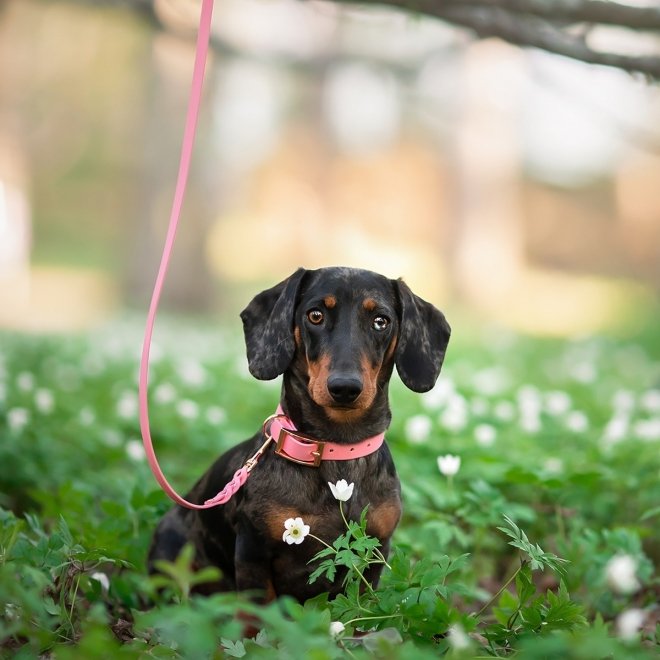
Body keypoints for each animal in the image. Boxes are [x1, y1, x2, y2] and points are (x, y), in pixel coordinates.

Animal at [148, 266, 448, 604]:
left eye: (380, 321)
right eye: (315, 315)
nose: (345, 387)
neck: (336, 450)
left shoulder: (374, 551)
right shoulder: (252, 552)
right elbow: (258, 610)